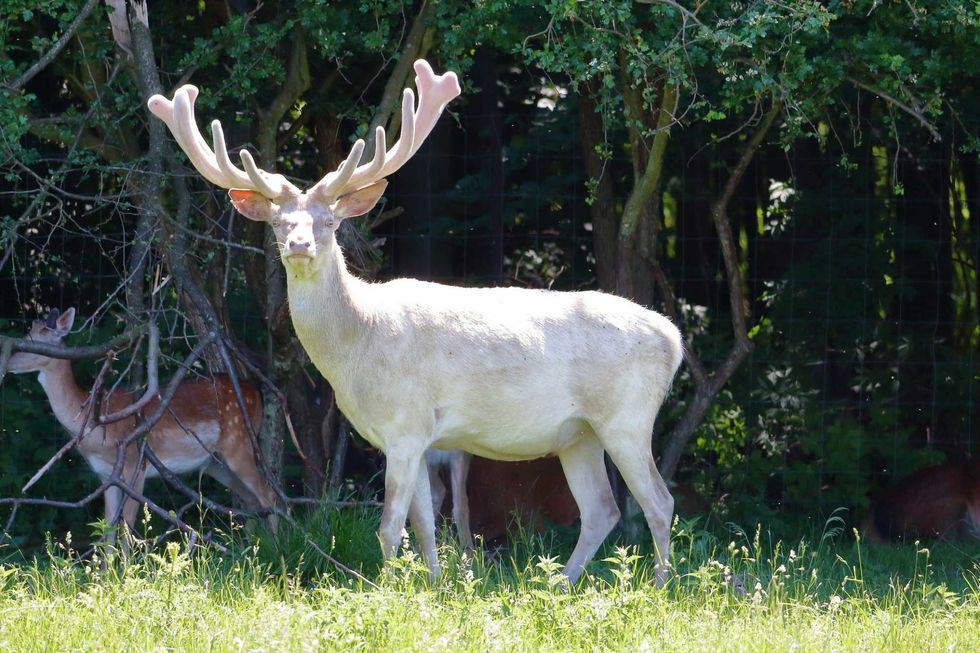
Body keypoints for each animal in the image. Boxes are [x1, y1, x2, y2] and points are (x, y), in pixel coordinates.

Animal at [5, 308, 279, 537]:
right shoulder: (105, 475)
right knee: (251, 500)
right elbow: (108, 529)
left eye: (37, 344)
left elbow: (126, 527)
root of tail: (256, 393)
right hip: (215, 462)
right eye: (26, 334)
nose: (7, 362)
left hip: (238, 441)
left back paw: (275, 547)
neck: (96, 429)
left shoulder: (135, 462)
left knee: (269, 495)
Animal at [147, 59, 683, 585]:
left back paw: (657, 587)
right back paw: (560, 585)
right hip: (577, 433)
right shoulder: (417, 437)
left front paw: (386, 590)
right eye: (279, 222)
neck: (357, 346)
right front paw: (435, 585)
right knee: (601, 509)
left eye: (329, 222)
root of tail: (673, 339)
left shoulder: (405, 422)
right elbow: (423, 523)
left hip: (627, 415)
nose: (299, 245)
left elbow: (389, 527)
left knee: (659, 501)